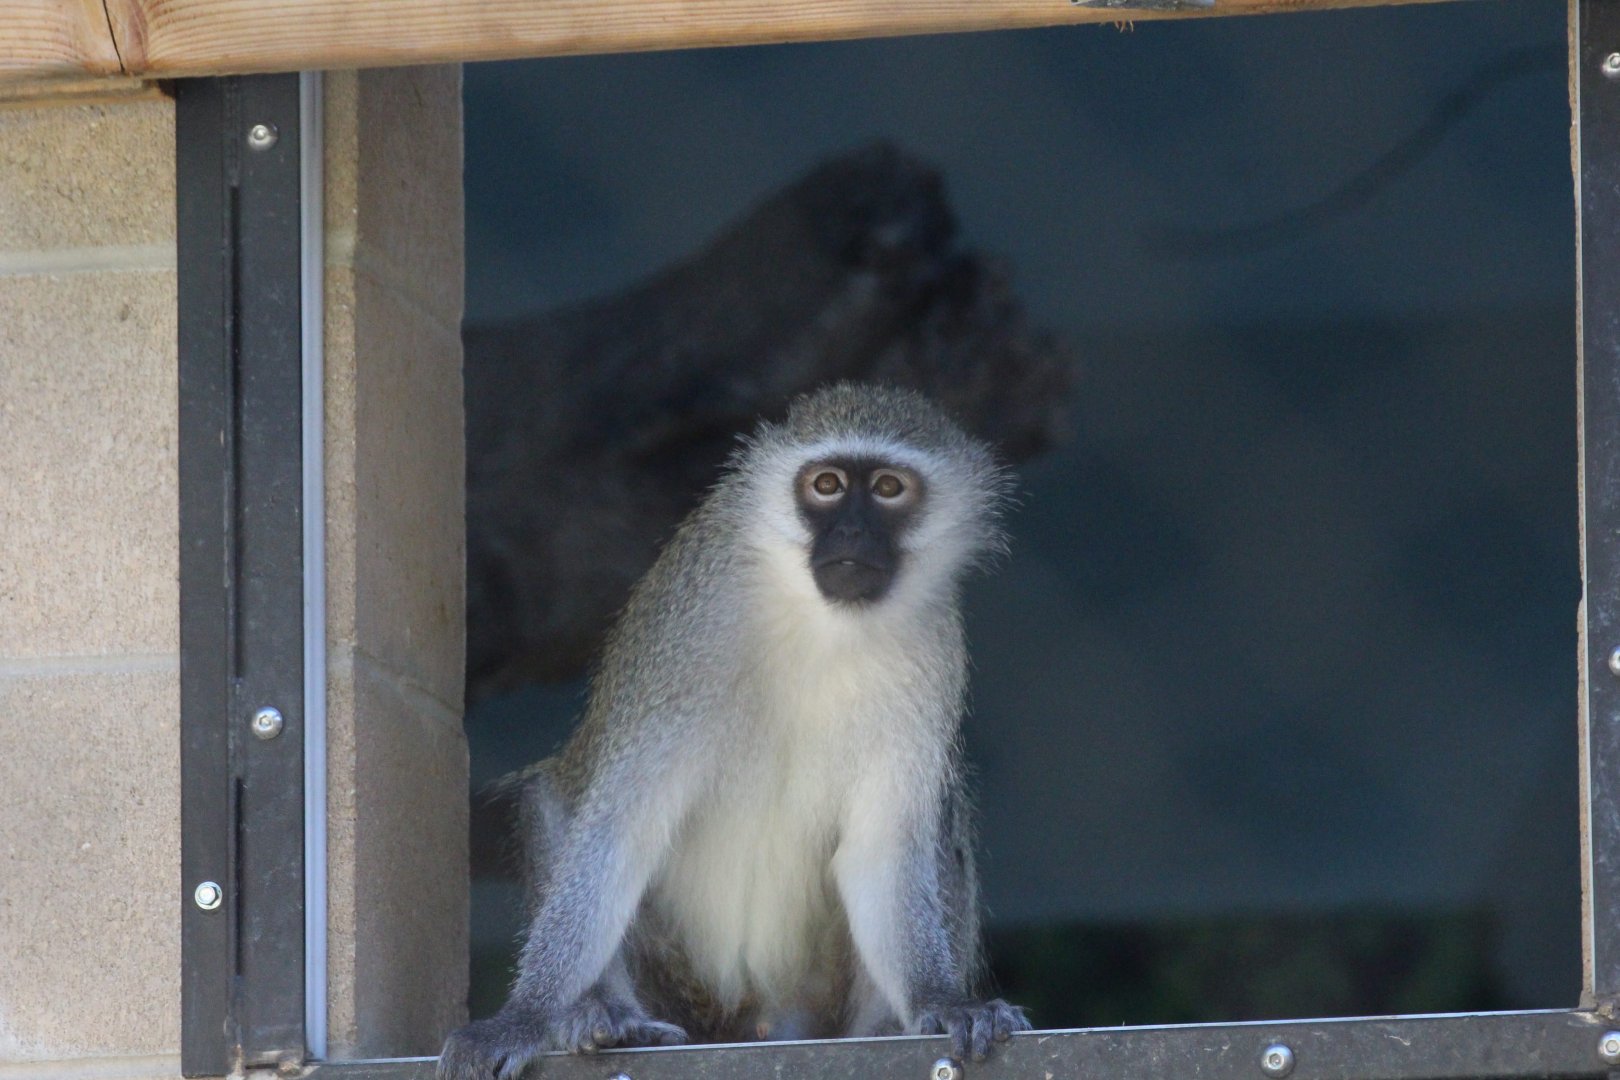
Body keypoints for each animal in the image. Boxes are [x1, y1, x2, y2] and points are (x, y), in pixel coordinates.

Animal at [439, 383, 1031, 1080]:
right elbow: (619, 831)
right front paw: (525, 1016)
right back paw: (602, 1019)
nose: (853, 531)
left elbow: (883, 847)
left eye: (889, 488)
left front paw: (941, 999)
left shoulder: (933, 648)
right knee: (554, 804)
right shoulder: (688, 625)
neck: (821, 624)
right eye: (827, 485)